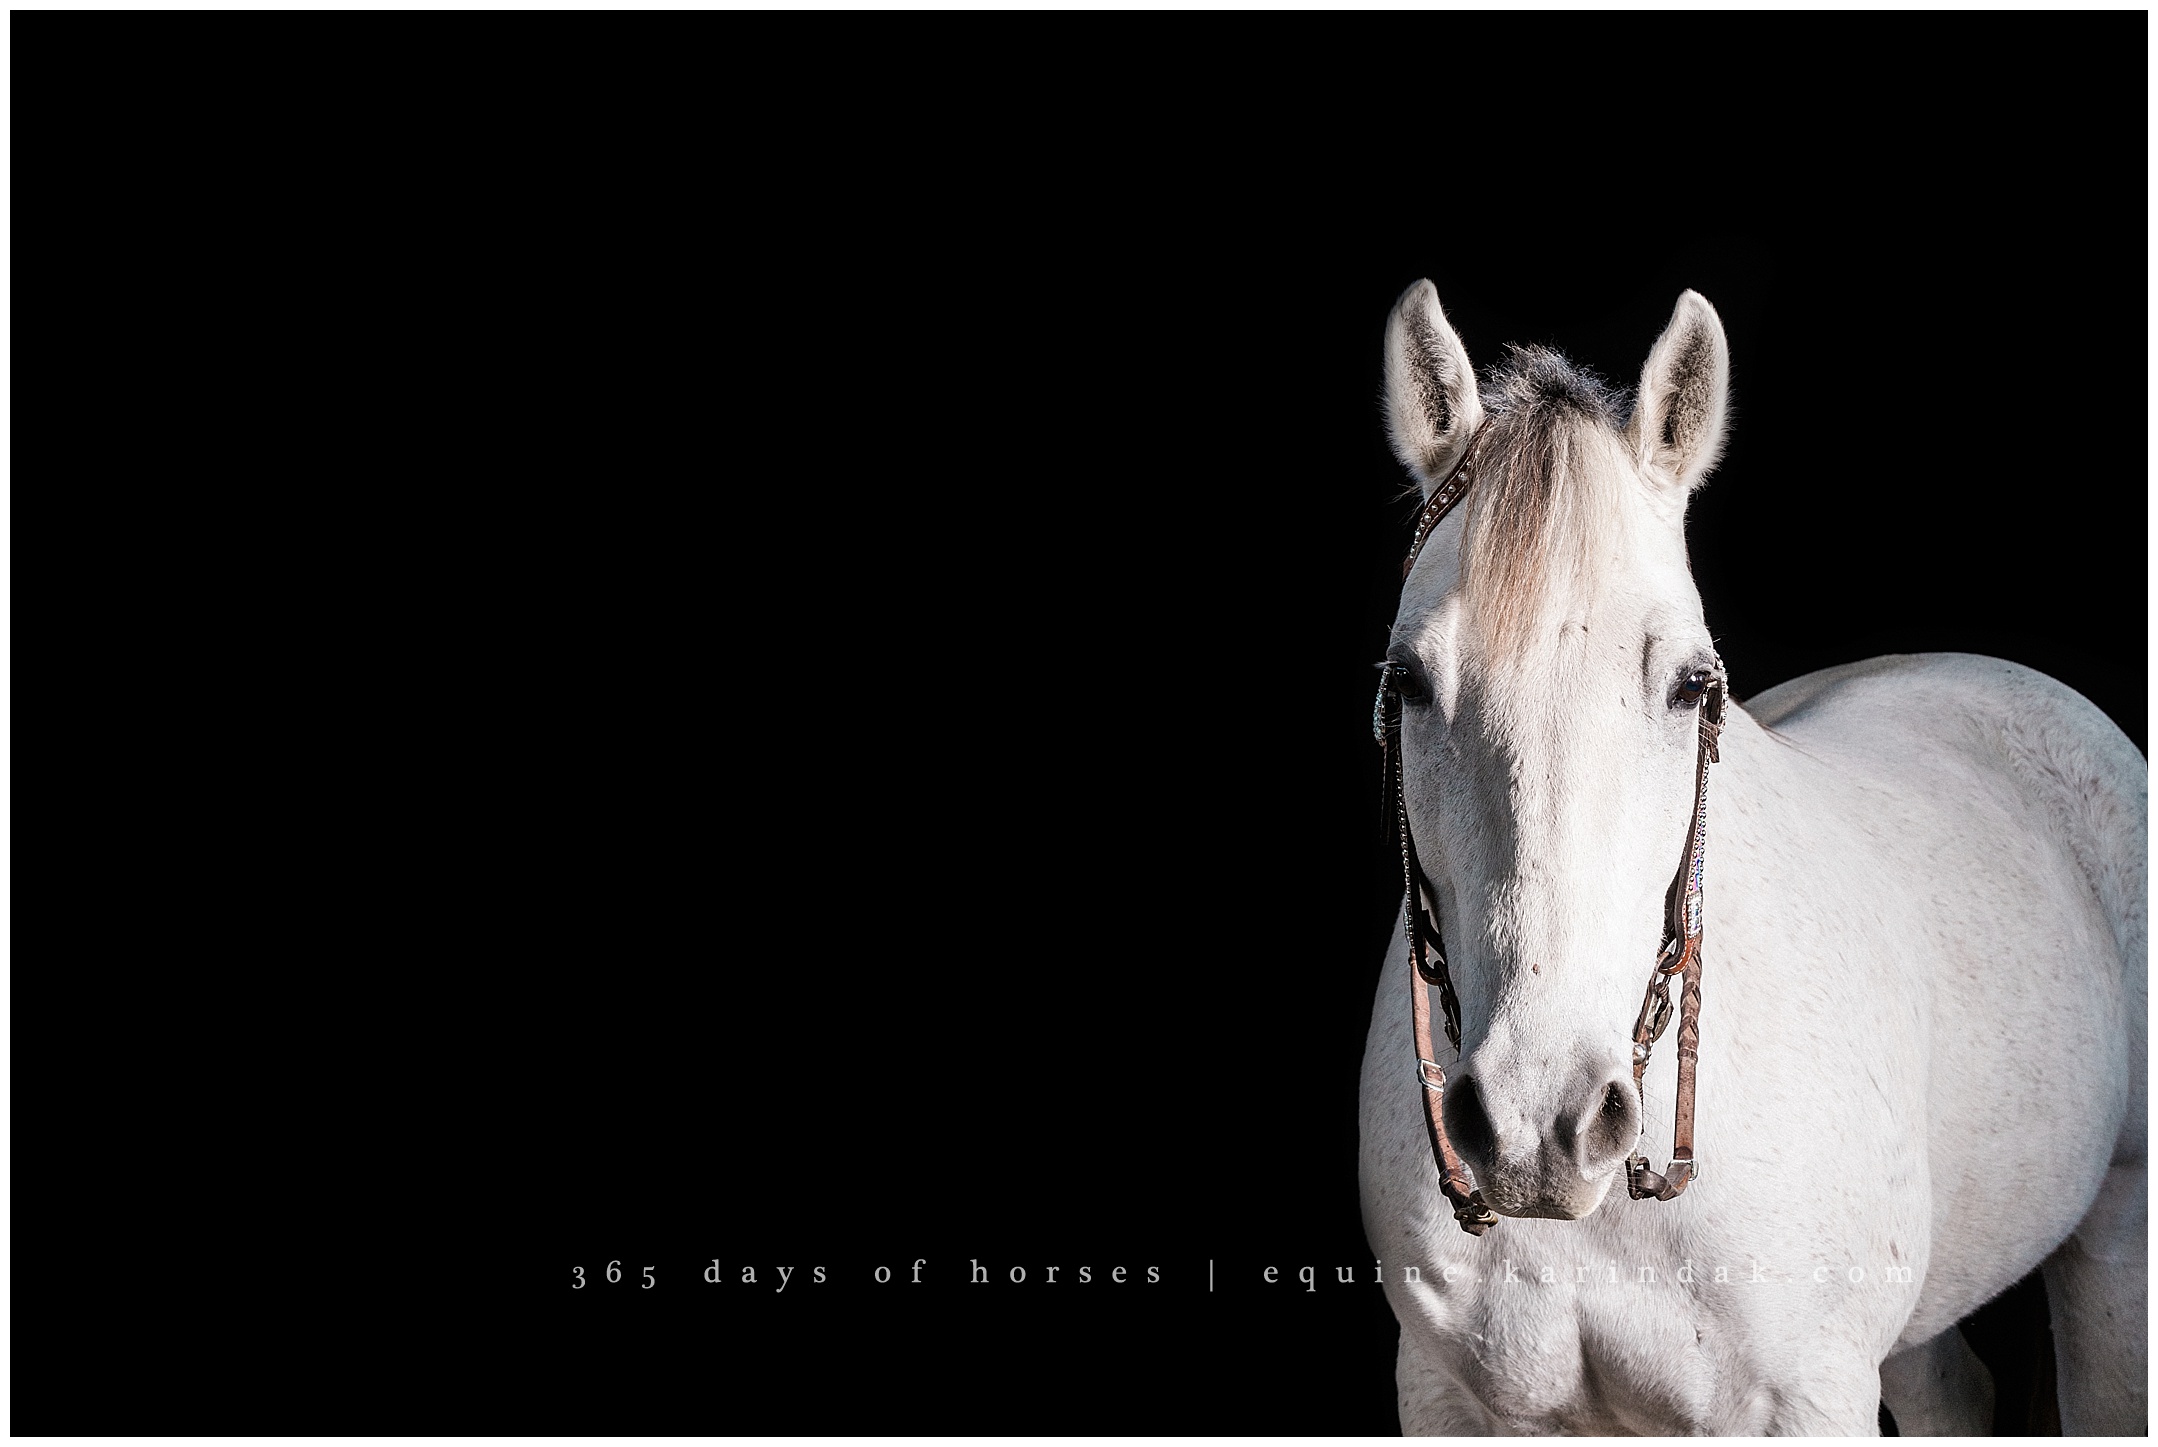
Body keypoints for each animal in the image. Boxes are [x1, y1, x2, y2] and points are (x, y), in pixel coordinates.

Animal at [1356, 282, 2145, 1435]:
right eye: (1409, 681)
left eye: (1691, 684)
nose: (1536, 1123)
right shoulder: (1446, 1395)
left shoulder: (1803, 1399)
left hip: (2115, 1241)